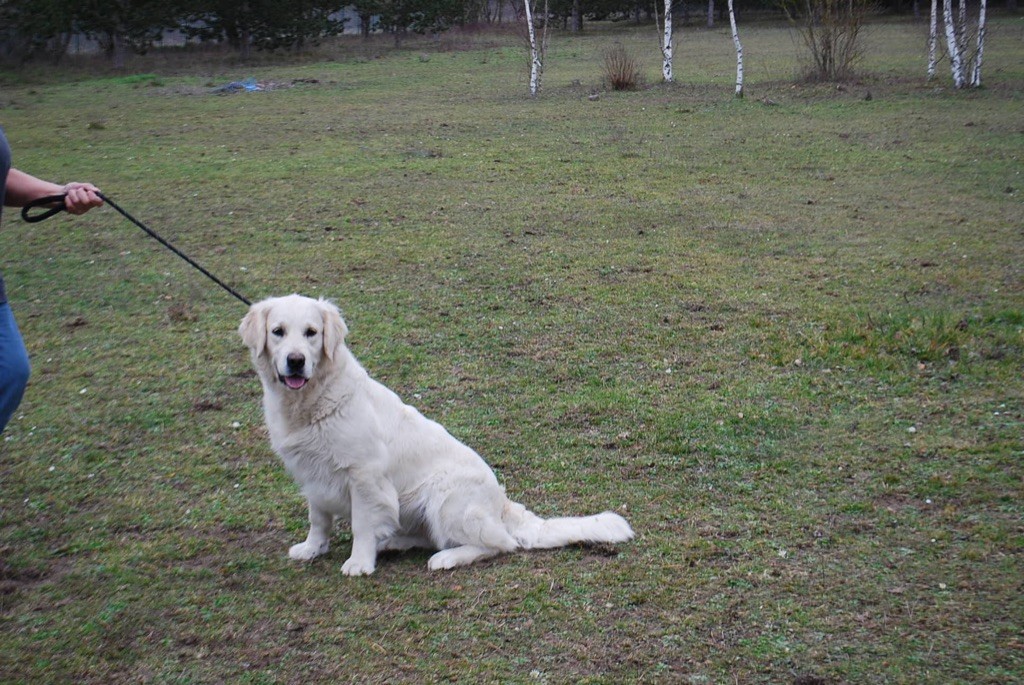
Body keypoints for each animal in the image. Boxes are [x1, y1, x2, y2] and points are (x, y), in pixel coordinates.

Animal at [239, 292, 630, 573]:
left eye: (311, 333)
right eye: (278, 332)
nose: (295, 361)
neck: (310, 402)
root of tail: (501, 502)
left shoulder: (365, 476)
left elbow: (362, 524)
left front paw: (359, 562)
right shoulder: (312, 474)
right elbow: (318, 518)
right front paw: (312, 548)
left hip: (443, 495)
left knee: (499, 544)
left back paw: (447, 558)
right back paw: (392, 542)